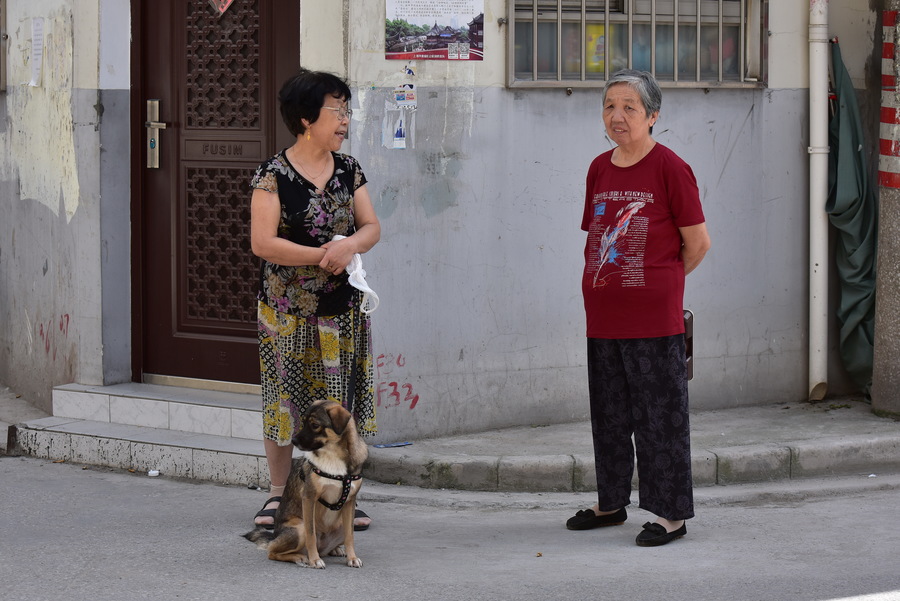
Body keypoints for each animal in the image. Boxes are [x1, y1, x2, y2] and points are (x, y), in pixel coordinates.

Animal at [244, 398, 368, 568]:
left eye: (315, 425)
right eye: (303, 422)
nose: (293, 440)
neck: (333, 455)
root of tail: (274, 536)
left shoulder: (349, 502)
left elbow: (350, 536)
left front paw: (352, 557)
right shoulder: (309, 498)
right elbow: (311, 534)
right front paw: (315, 560)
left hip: (341, 524)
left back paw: (335, 549)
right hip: (299, 528)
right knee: (272, 552)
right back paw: (301, 557)